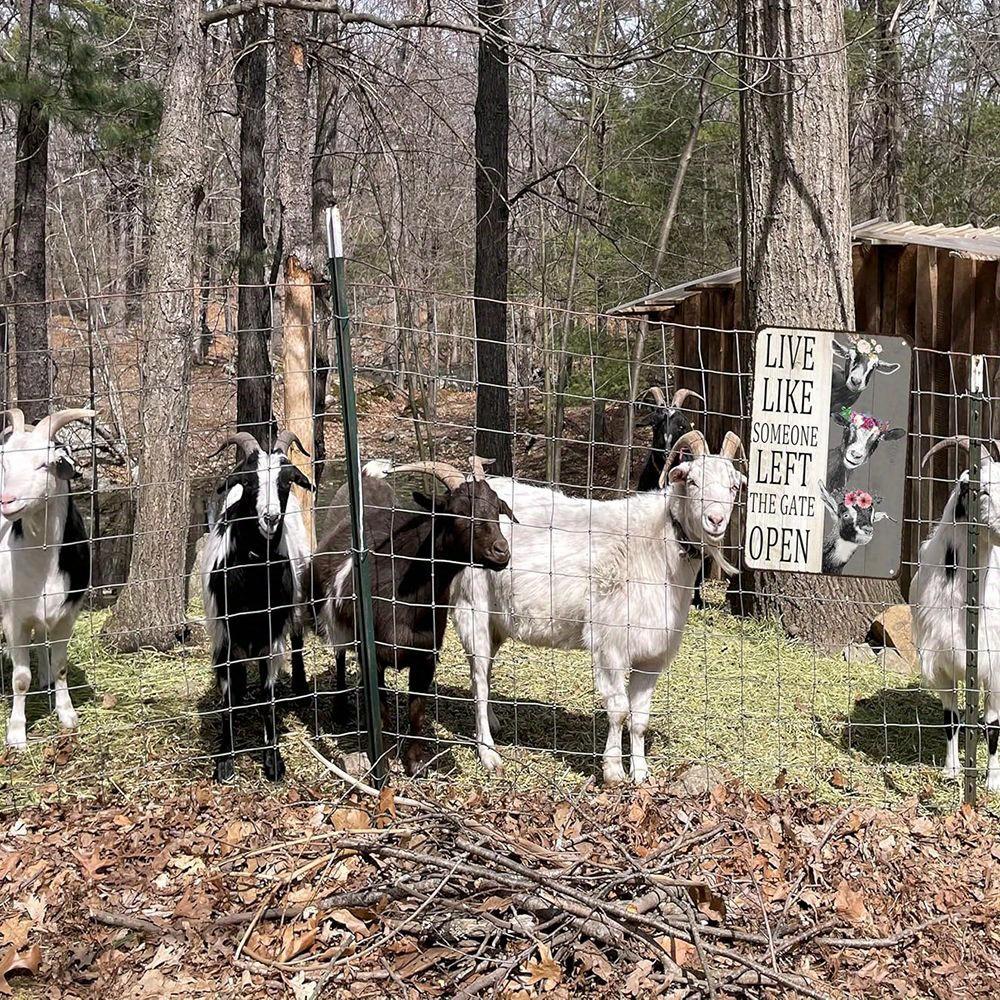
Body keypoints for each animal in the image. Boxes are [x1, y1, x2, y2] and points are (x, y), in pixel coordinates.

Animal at [1, 408, 96, 749]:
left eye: (44, 463)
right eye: (4, 463)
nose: (6, 500)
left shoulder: (68, 613)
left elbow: (61, 666)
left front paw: (66, 714)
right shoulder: (13, 618)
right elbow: (20, 679)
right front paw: (16, 733)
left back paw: (44, 678)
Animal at [202, 430, 313, 782]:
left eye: (286, 481)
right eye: (248, 481)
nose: (271, 518)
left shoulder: (271, 637)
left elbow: (268, 697)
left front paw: (273, 759)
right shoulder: (222, 635)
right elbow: (227, 699)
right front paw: (225, 760)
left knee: (298, 636)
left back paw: (301, 688)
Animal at [307, 459, 515, 775]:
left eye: (497, 510)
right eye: (456, 512)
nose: (501, 552)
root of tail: (367, 476)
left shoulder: (426, 656)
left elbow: (417, 712)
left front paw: (416, 763)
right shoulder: (373, 657)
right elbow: (381, 713)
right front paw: (384, 760)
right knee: (339, 655)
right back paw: (340, 710)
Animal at [451, 430, 746, 783]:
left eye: (733, 487)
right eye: (692, 481)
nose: (715, 520)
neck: (657, 547)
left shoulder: (652, 655)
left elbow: (639, 718)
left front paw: (641, 774)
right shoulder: (611, 645)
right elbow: (618, 710)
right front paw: (613, 770)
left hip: (496, 620)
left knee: (481, 672)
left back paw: (493, 723)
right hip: (473, 606)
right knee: (480, 679)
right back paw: (489, 754)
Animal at [911, 436, 1000, 789]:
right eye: (982, 490)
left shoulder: (994, 665)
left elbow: (993, 726)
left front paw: (992, 782)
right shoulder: (942, 662)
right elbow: (951, 719)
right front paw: (951, 770)